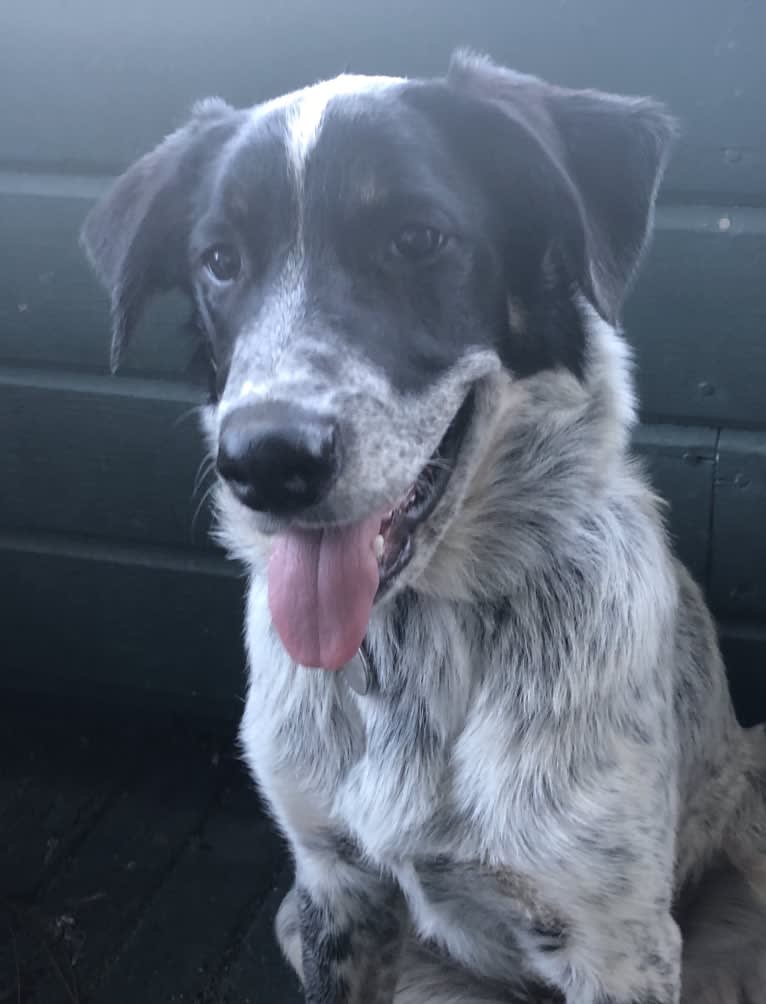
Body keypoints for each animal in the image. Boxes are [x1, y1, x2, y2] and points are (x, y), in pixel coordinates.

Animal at [80, 50, 762, 1003]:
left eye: (416, 239)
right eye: (219, 261)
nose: (265, 462)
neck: (411, 640)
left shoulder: (618, 944)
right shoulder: (332, 889)